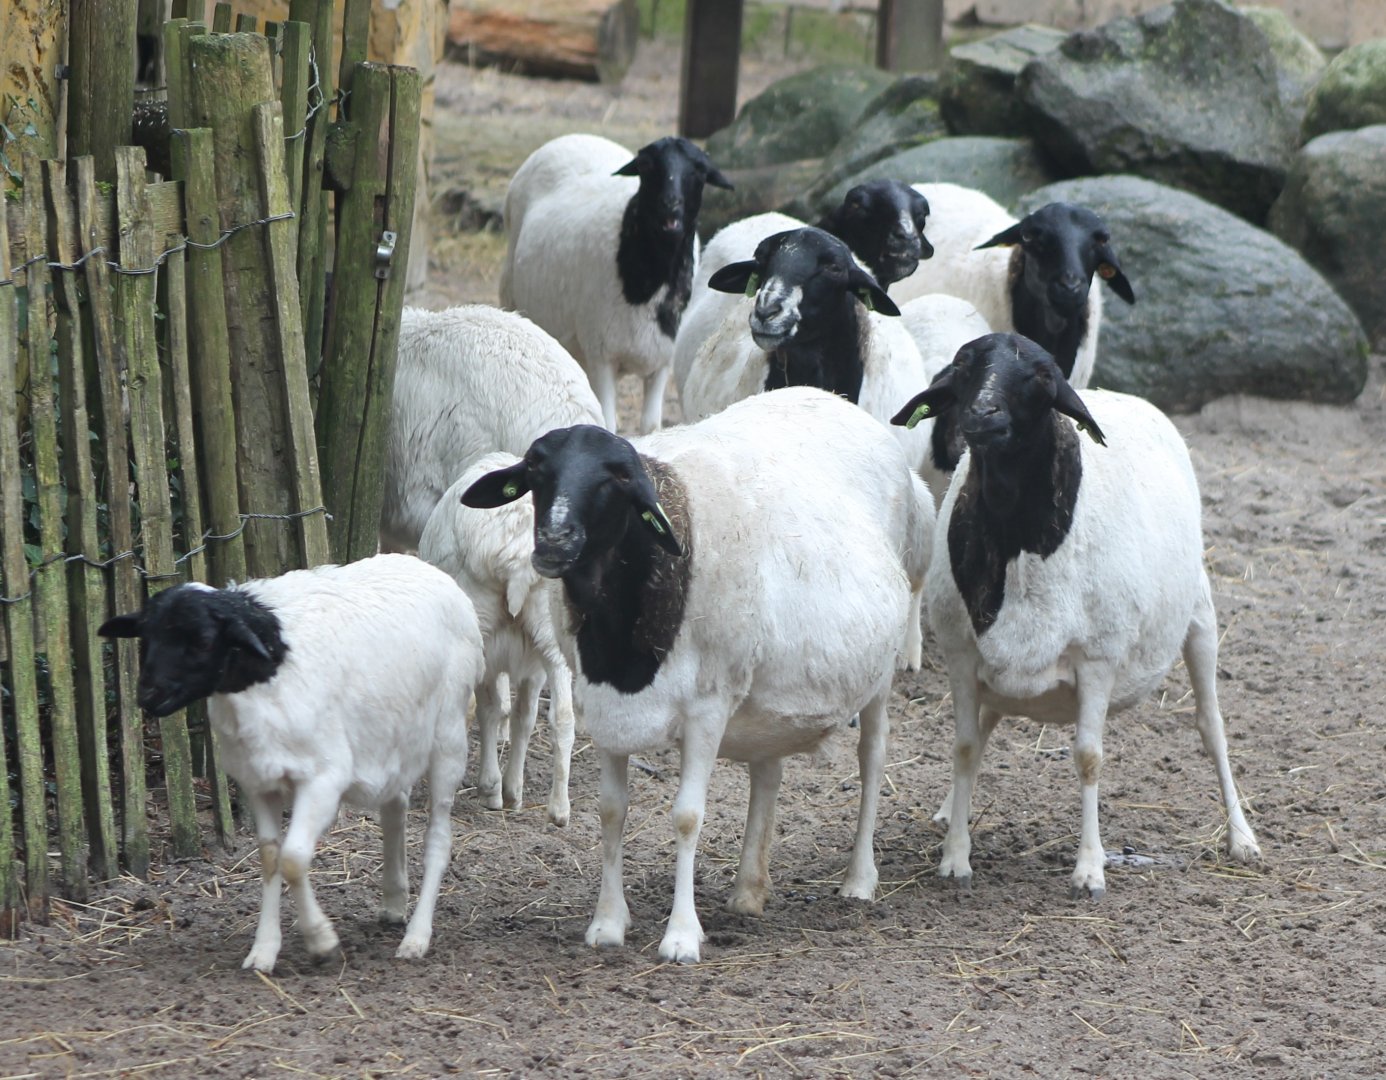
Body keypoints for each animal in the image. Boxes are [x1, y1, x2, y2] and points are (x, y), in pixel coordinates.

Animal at [98, 555, 485, 972]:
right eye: (146, 638)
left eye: (202, 641)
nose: (148, 696)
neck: (266, 671)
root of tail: (430, 569)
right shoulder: (257, 782)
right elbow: (270, 859)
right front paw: (264, 950)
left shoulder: (323, 779)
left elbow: (294, 859)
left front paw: (321, 940)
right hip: (394, 738)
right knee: (394, 809)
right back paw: (394, 901)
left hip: (448, 736)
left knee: (438, 837)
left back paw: (417, 936)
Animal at [418, 452, 576, 829]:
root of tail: (517, 556)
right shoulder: (533, 664)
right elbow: (524, 716)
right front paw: (513, 791)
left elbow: (495, 709)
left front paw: (498, 789)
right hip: (551, 631)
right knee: (563, 716)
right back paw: (559, 809)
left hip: (478, 624)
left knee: (478, 708)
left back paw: (480, 788)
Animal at [461, 386, 934, 963]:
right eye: (535, 468)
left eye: (618, 477)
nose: (553, 540)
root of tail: (836, 400)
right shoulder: (602, 706)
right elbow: (611, 811)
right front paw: (607, 923)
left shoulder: (708, 708)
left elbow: (687, 815)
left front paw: (681, 936)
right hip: (768, 691)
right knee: (768, 771)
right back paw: (748, 889)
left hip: (880, 672)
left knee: (872, 758)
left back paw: (859, 879)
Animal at [499, 133, 733, 435]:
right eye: (645, 165)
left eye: (700, 170)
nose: (670, 204)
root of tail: (575, 136)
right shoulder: (603, 357)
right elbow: (608, 424)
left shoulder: (661, 361)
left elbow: (650, 426)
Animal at [890, 333, 1261, 899]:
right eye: (963, 365)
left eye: (1044, 376)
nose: (982, 413)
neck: (1018, 541)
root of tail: (1122, 395)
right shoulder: (962, 654)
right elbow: (966, 746)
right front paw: (955, 854)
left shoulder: (1097, 659)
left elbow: (1089, 757)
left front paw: (1090, 869)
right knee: (986, 727)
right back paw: (951, 808)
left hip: (1199, 615)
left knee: (1211, 726)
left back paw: (1241, 837)